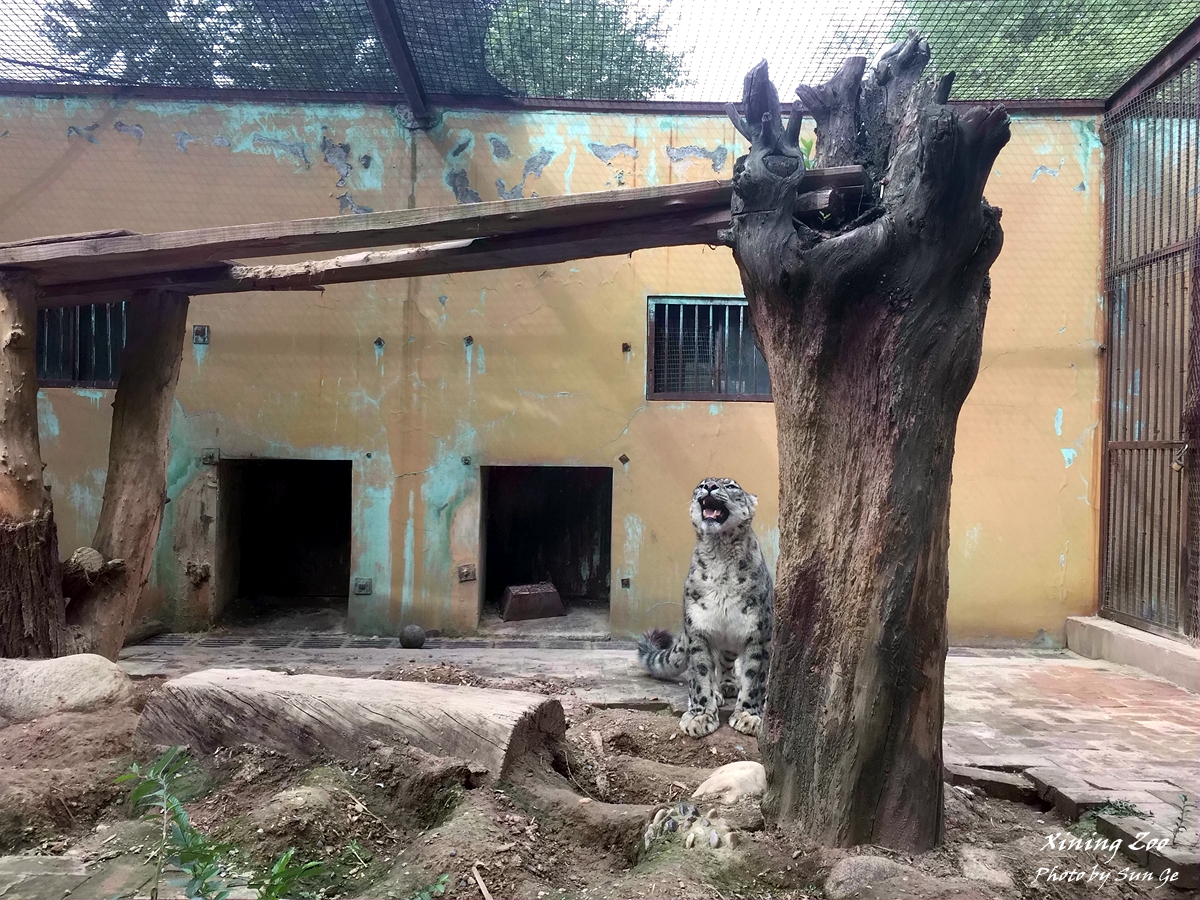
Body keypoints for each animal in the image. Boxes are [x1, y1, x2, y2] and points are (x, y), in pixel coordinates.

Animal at [637, 477, 773, 738]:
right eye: (701, 484)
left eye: (731, 486)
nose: (709, 487)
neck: (721, 558)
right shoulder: (699, 630)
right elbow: (700, 674)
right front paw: (699, 716)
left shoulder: (757, 633)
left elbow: (754, 676)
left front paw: (748, 715)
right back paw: (716, 694)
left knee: (727, 661)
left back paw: (728, 685)